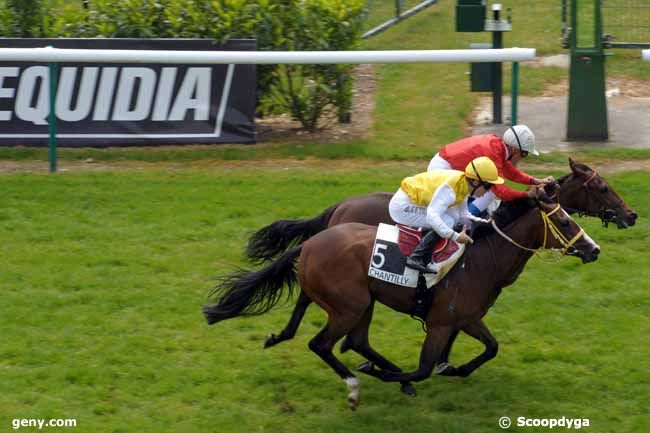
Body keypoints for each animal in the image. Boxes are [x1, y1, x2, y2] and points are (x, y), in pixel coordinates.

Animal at [205, 192, 600, 408]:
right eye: (566, 222)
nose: (593, 249)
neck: (481, 258)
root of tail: (310, 243)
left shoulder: (467, 318)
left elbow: (491, 348)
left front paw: (455, 369)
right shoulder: (441, 323)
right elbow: (424, 368)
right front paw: (391, 375)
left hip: (363, 302)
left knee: (353, 340)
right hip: (349, 307)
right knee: (323, 344)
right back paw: (356, 385)